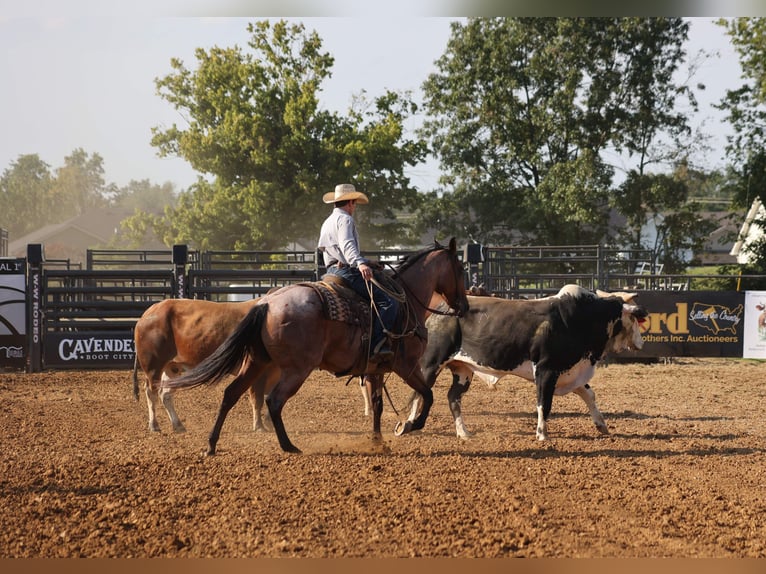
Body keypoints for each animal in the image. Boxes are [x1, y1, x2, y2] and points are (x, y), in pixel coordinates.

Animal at [132, 298, 272, 433]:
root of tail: (148, 312)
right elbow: (258, 399)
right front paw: (259, 426)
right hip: (153, 366)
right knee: (151, 392)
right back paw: (154, 425)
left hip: (172, 367)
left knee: (165, 394)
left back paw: (178, 425)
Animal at [162, 238, 470, 454]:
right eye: (460, 269)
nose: (464, 306)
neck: (406, 301)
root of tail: (267, 303)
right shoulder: (406, 366)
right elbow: (428, 394)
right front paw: (410, 425)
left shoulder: (376, 370)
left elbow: (378, 405)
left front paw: (377, 441)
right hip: (297, 369)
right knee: (274, 400)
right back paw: (288, 446)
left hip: (257, 361)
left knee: (230, 394)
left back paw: (211, 445)